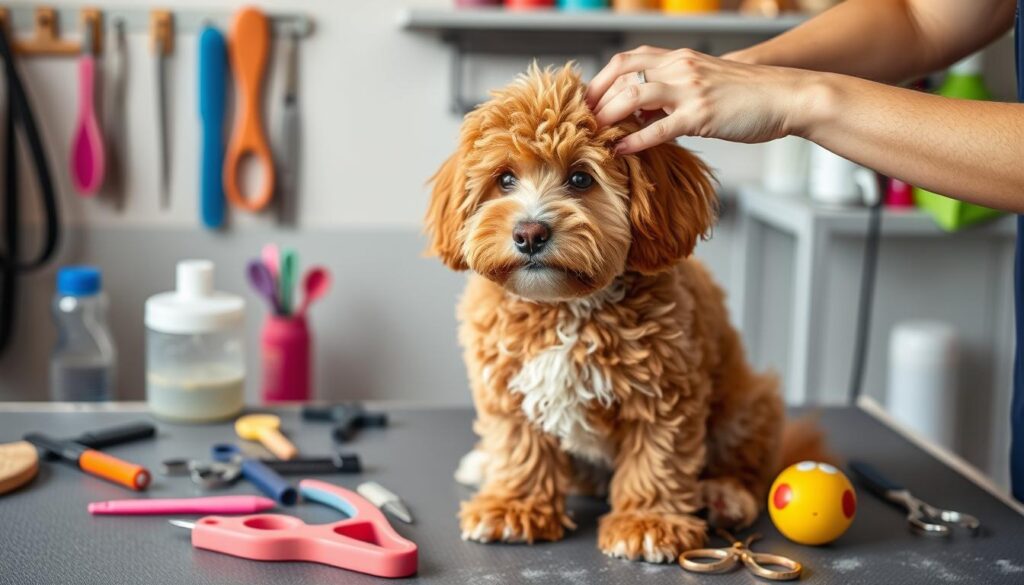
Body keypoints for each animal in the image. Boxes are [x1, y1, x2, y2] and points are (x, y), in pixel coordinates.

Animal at [423, 64, 815, 561]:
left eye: (580, 179)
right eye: (505, 179)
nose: (529, 233)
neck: (564, 307)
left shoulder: (665, 390)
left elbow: (659, 456)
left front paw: (648, 522)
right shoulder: (506, 386)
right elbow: (518, 445)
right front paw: (514, 507)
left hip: (749, 402)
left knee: (745, 463)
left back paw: (723, 495)